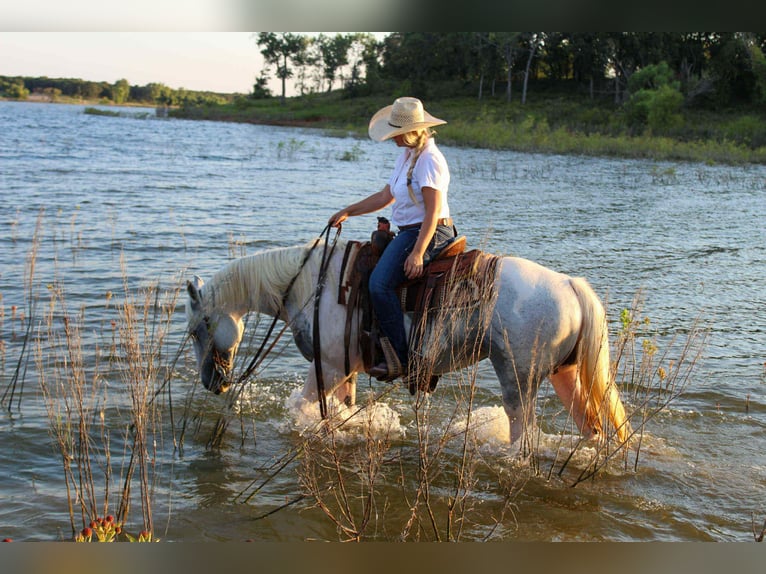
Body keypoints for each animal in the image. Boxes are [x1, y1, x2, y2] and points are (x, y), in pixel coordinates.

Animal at [185, 237, 631, 447]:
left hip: (517, 379)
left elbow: (300, 410)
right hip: (565, 375)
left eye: (197, 328)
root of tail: (570, 285)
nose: (213, 382)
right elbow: (344, 411)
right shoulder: (345, 370)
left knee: (524, 436)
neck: (313, 285)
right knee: (591, 427)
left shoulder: (327, 368)